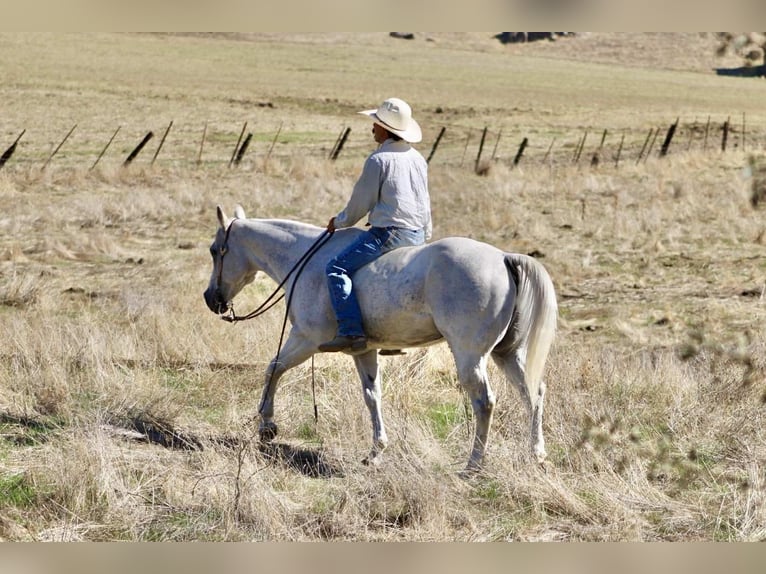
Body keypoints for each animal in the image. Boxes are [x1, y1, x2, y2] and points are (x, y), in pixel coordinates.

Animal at [204, 205, 558, 472]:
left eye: (215, 250)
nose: (211, 299)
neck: (306, 260)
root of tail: (503, 258)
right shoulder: (364, 351)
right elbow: (372, 396)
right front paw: (376, 451)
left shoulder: (304, 340)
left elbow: (273, 368)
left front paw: (267, 426)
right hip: (506, 353)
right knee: (533, 393)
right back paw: (537, 455)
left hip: (470, 356)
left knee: (485, 402)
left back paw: (473, 464)